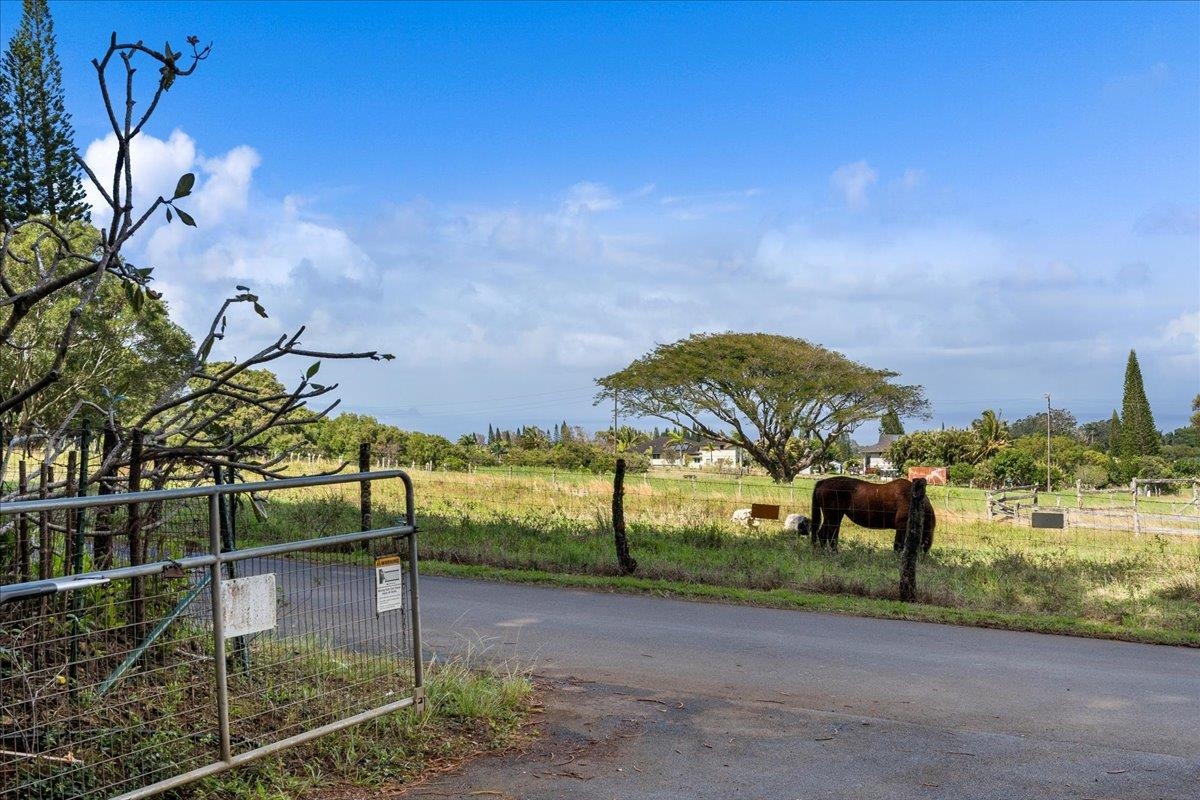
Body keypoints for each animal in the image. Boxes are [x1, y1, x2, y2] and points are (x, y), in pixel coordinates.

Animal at [806, 479, 936, 554]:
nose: (924, 557)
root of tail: (823, 482)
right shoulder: (902, 527)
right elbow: (898, 546)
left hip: (832, 517)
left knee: (822, 534)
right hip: (834, 517)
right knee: (830, 536)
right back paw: (833, 554)